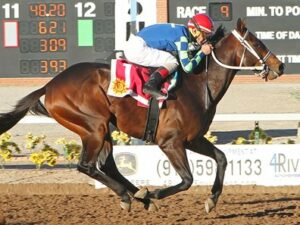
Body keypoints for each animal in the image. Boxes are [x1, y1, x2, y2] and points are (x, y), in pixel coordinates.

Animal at [0, 19, 284, 213]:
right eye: (258, 43)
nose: (280, 66)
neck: (198, 84)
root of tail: (49, 85)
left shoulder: (192, 138)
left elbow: (222, 158)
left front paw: (211, 201)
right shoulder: (170, 142)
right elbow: (187, 179)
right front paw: (156, 195)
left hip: (102, 129)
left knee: (107, 165)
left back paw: (139, 196)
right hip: (93, 126)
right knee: (88, 166)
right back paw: (133, 196)